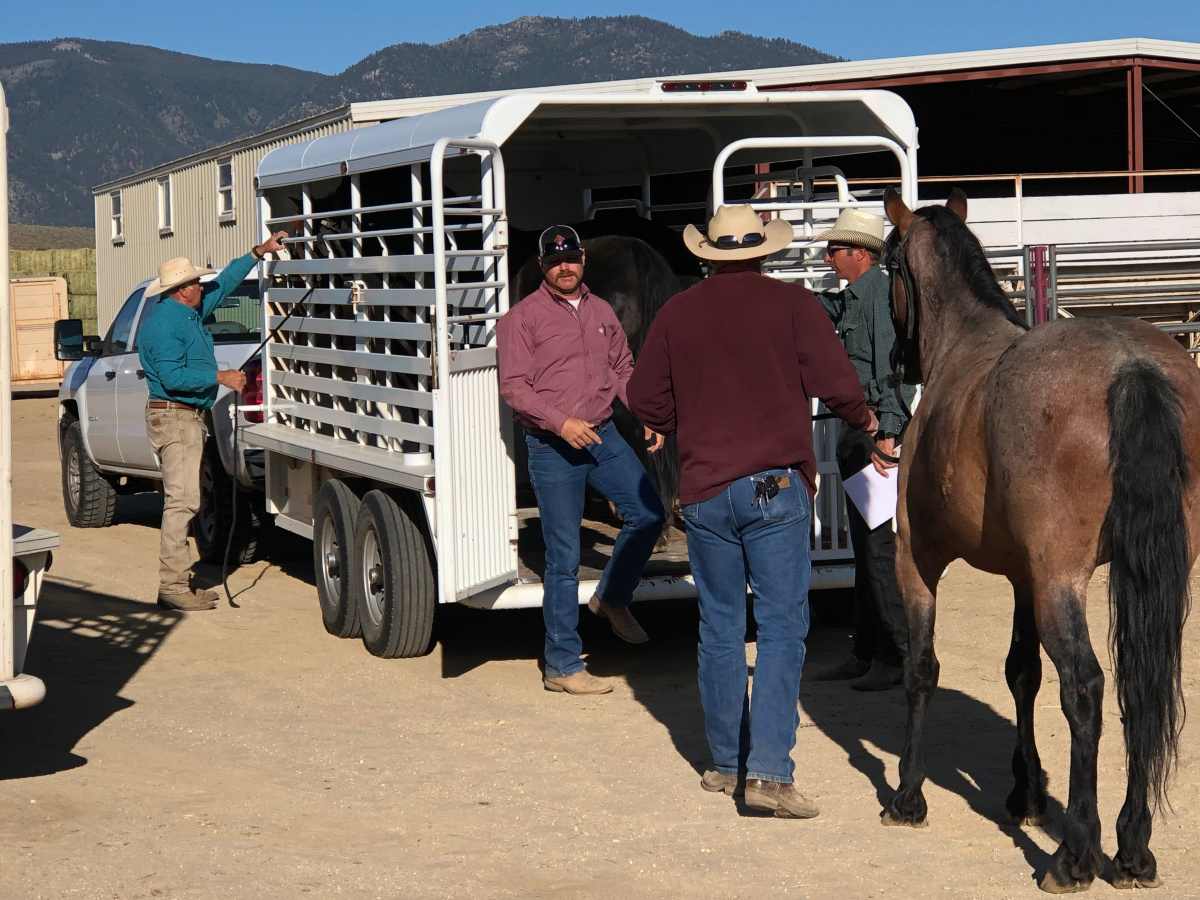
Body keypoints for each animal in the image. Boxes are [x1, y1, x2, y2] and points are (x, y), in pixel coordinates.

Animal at [878, 190, 1195, 897]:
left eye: (888, 269)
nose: (895, 363)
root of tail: (1131, 365)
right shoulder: (1022, 575)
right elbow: (1020, 673)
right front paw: (1026, 793)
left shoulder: (916, 562)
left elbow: (921, 670)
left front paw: (908, 796)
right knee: (1141, 686)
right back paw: (1132, 848)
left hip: (1062, 583)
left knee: (1085, 688)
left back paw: (1075, 854)